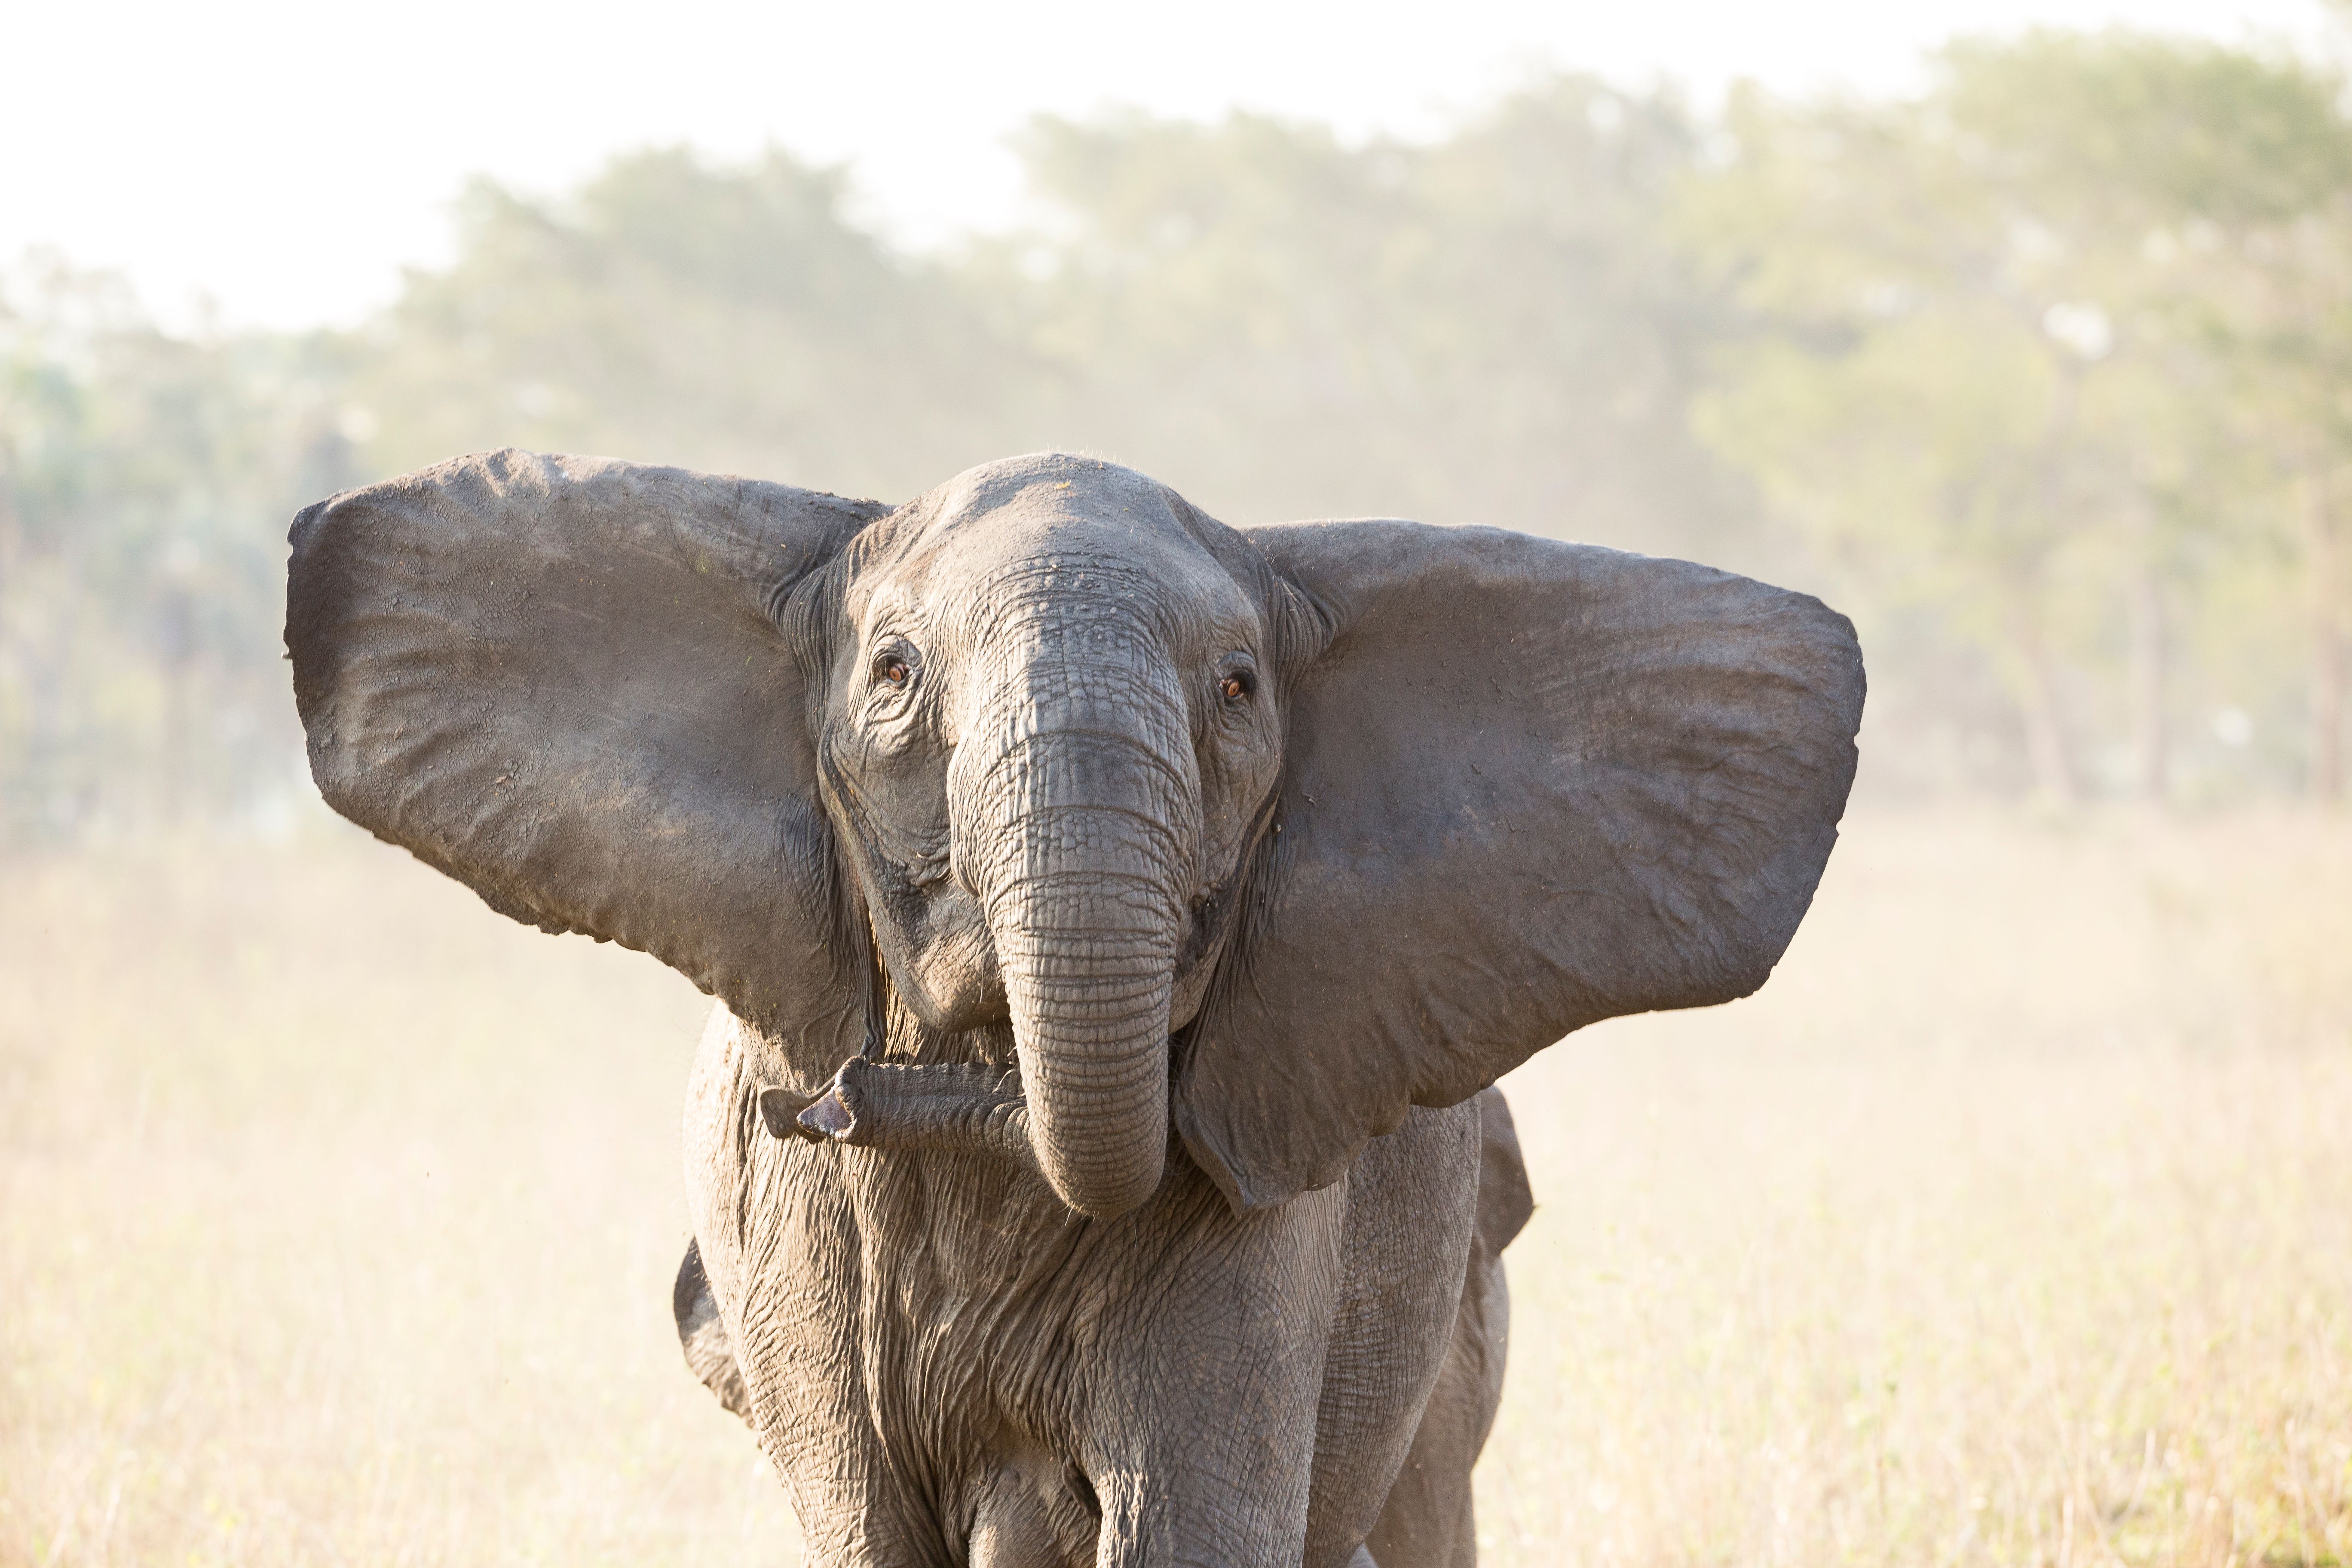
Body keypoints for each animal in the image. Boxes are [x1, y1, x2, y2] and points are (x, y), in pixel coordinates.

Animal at [284, 448, 1863, 1567]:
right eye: (894, 675)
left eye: (1239, 688)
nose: (841, 1096)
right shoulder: (792, 1242)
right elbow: (867, 1533)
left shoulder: (1261, 1204)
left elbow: (1188, 1522)